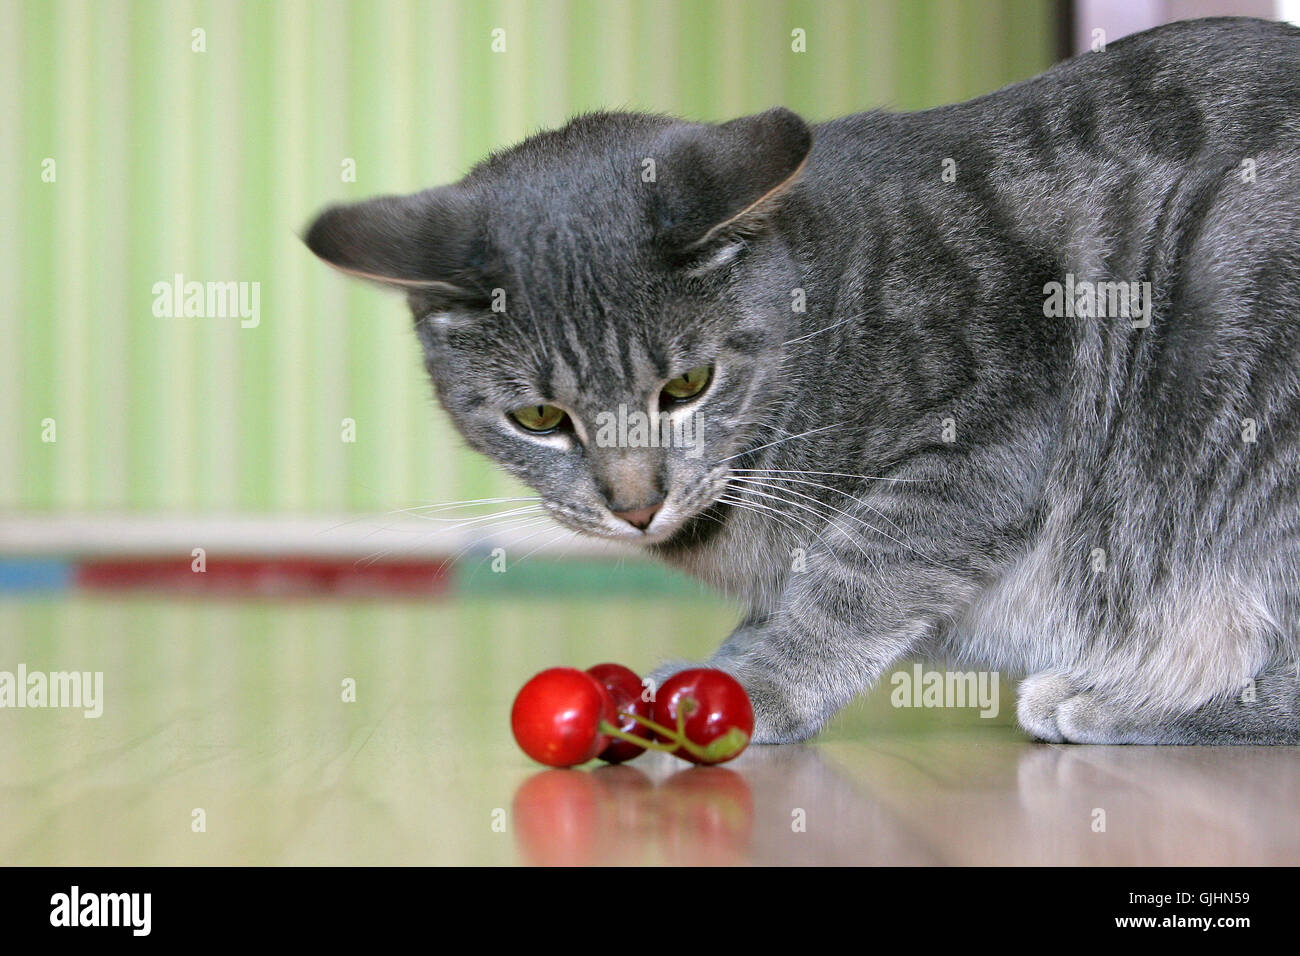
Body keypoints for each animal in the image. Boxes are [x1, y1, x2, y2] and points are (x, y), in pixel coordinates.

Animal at [309, 18, 1300, 743]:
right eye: (540, 416)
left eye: (689, 384)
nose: (635, 507)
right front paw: (708, 668)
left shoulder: (993, 423)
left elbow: (850, 575)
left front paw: (760, 690)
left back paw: (1131, 699)